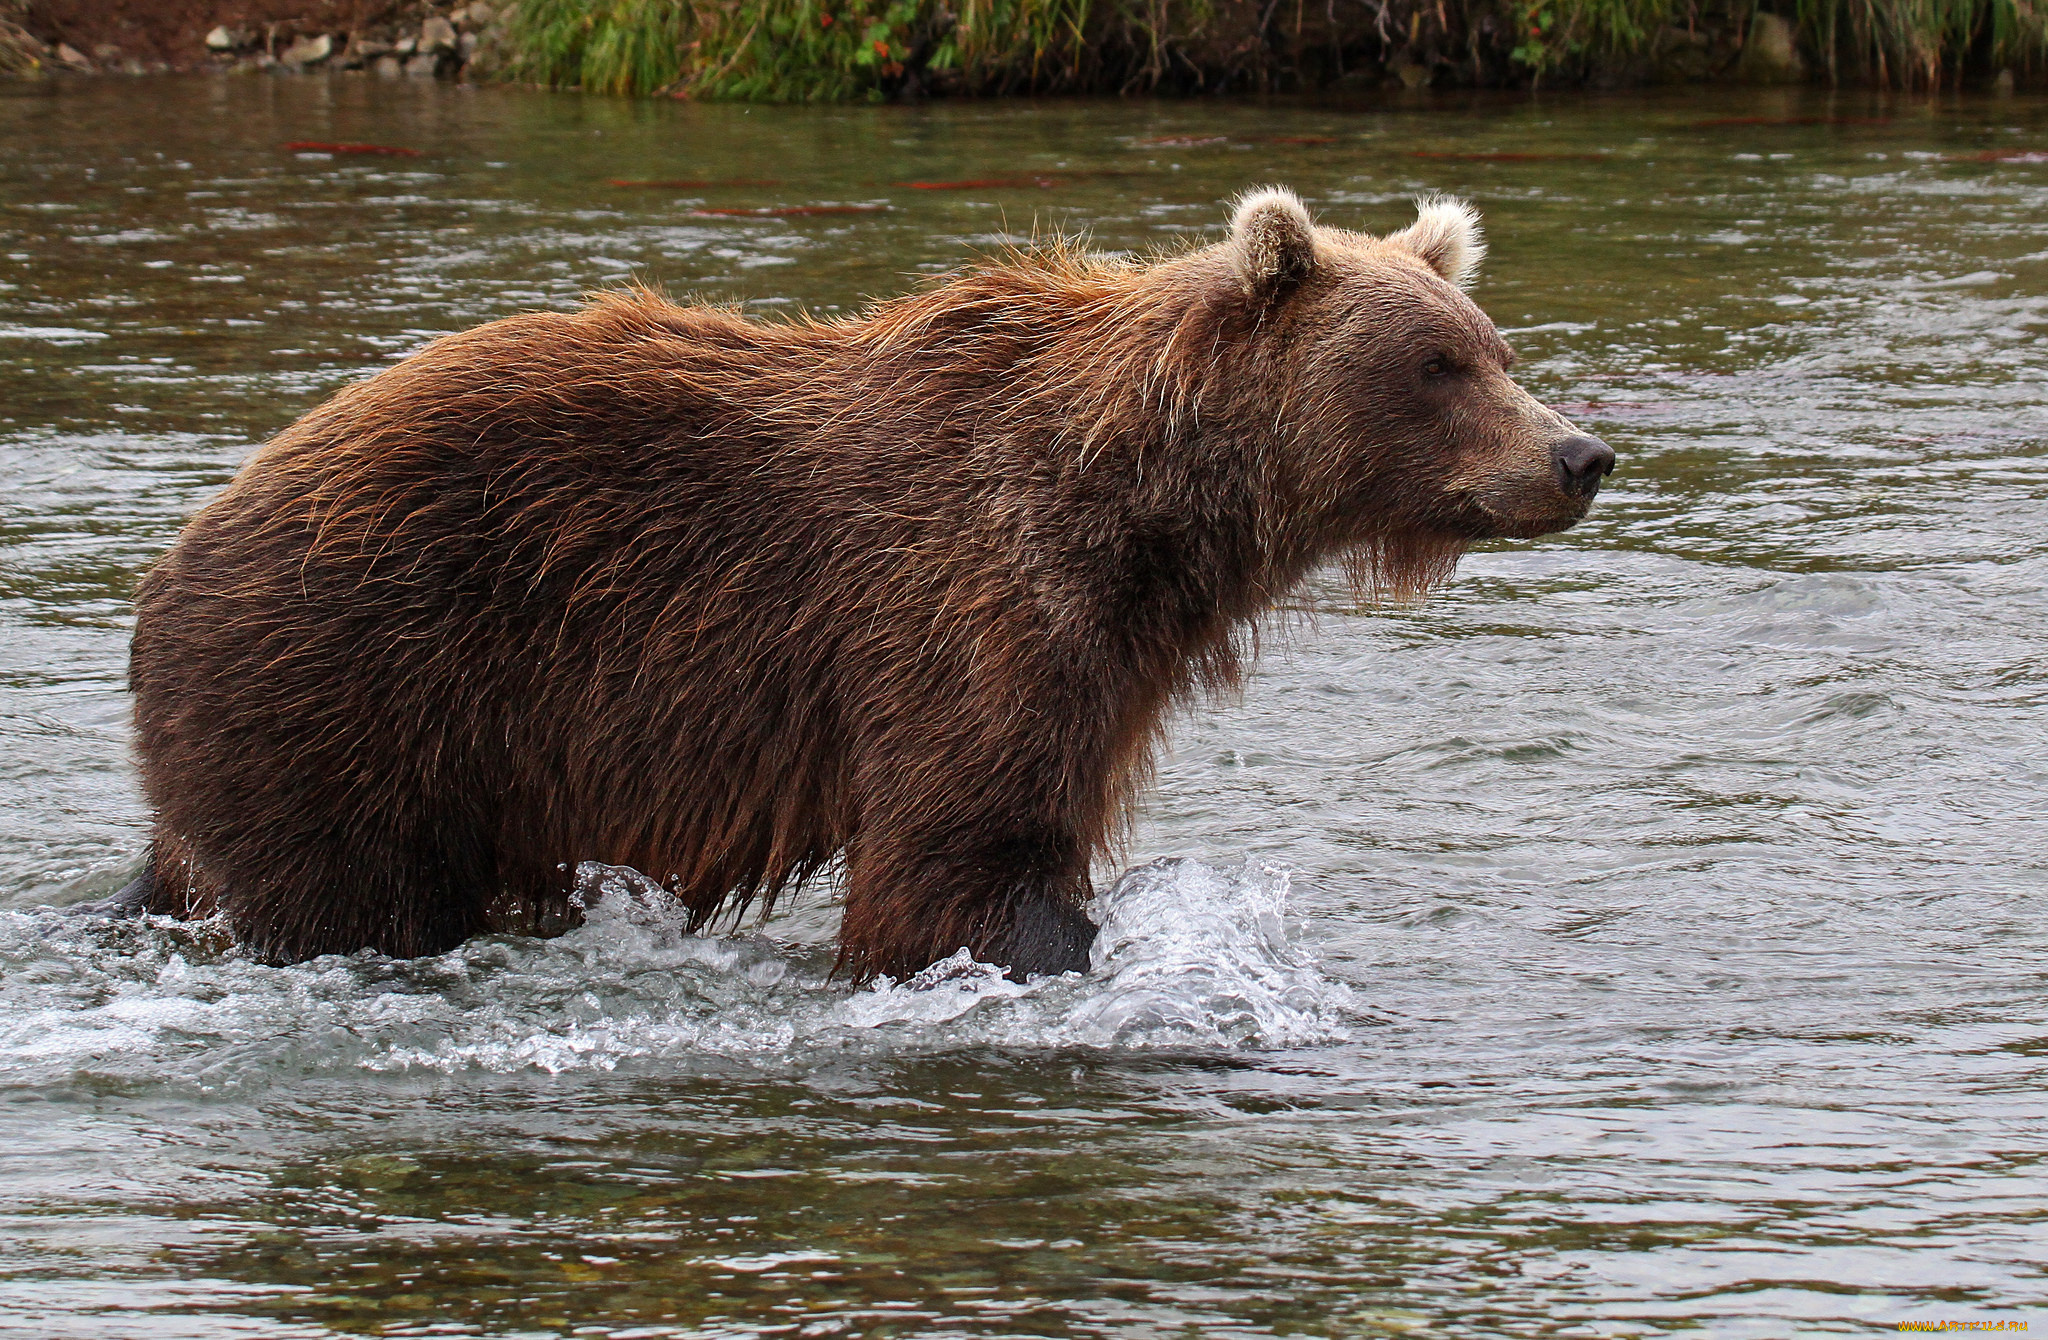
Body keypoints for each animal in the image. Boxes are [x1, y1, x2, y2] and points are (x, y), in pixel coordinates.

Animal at [119, 188, 1605, 983]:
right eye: (1436, 366)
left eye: (1494, 345)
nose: (1578, 454)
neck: (1145, 518)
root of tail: (181, 546)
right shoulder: (969, 607)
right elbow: (958, 856)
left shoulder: (1107, 660)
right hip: (353, 682)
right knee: (350, 890)